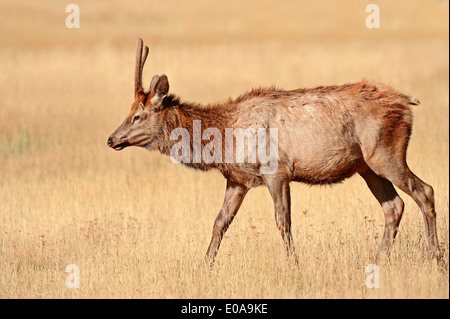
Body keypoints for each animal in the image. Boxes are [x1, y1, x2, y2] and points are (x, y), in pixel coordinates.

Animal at [107, 38, 442, 268]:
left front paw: (295, 266)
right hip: (367, 166)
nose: (111, 139)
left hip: (386, 152)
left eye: (137, 116)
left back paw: (436, 258)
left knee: (424, 190)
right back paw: (379, 260)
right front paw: (204, 265)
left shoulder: (276, 170)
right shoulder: (237, 179)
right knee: (394, 205)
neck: (225, 138)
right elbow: (219, 222)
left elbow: (283, 222)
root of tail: (406, 102)